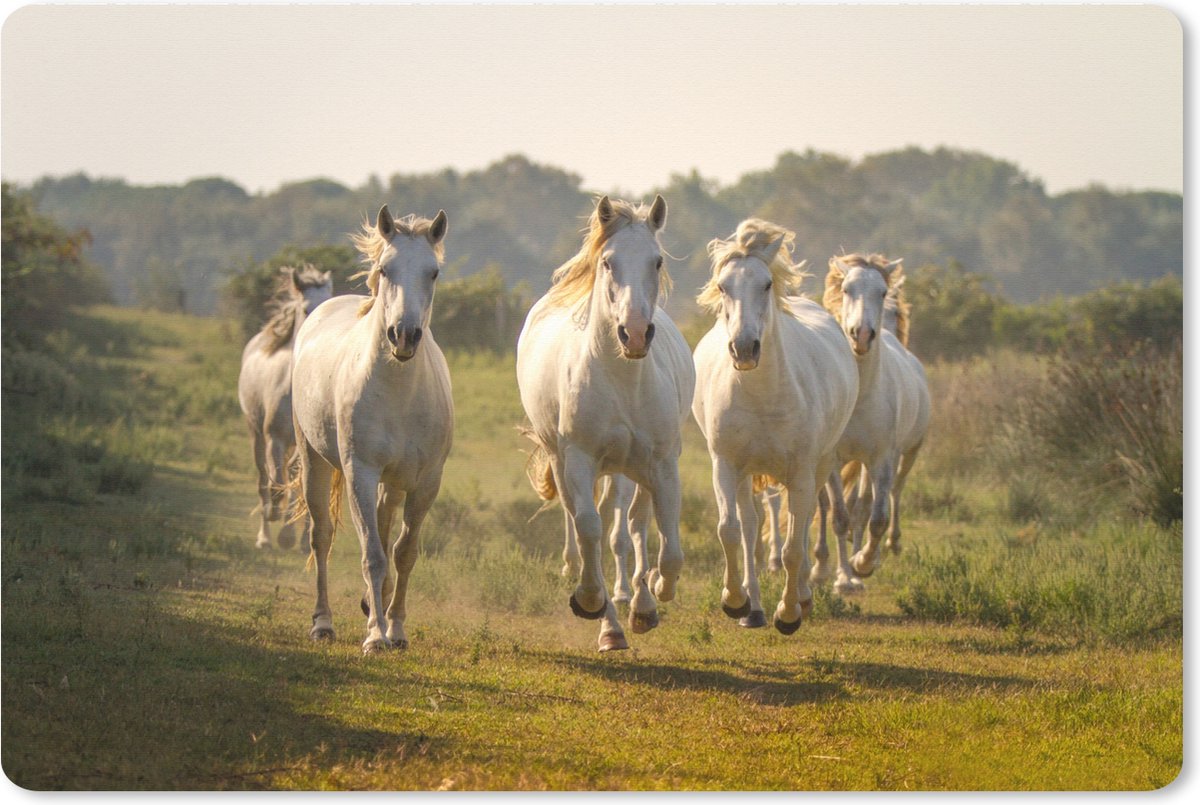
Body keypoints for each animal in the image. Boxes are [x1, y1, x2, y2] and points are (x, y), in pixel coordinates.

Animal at [236, 264, 332, 551]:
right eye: (306, 309)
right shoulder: (274, 439)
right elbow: (277, 480)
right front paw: (275, 514)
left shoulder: (305, 448)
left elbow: (297, 484)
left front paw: (292, 537)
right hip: (255, 433)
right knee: (262, 478)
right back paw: (264, 537)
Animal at [291, 205, 453, 654]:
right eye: (385, 269)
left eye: (433, 272)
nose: (404, 335)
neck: (399, 391)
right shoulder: (359, 472)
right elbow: (373, 554)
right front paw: (376, 637)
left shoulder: (426, 481)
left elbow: (404, 552)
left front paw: (395, 629)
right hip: (314, 459)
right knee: (322, 537)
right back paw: (323, 623)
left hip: (394, 481)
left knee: (383, 525)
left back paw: (371, 606)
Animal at [518, 195, 695, 652]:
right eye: (608, 262)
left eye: (656, 260)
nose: (634, 333)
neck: (621, 379)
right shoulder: (579, 460)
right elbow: (588, 529)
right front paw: (592, 603)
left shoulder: (662, 464)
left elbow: (666, 545)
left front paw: (654, 595)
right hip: (567, 461)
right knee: (586, 525)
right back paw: (610, 622)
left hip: (630, 468)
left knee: (632, 524)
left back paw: (640, 602)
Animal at [692, 219, 858, 633]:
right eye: (723, 286)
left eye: (766, 284)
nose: (744, 348)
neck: (762, 397)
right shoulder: (725, 465)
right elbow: (730, 531)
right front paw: (734, 601)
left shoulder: (801, 472)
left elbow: (793, 548)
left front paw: (789, 614)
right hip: (745, 475)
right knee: (750, 529)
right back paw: (753, 610)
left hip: (820, 465)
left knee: (808, 519)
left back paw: (802, 597)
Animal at [816, 254, 930, 586]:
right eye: (846, 289)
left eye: (882, 292)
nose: (862, 335)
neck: (860, 395)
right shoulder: (832, 459)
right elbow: (839, 516)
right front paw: (843, 578)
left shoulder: (881, 458)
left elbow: (874, 516)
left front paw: (863, 564)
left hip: (907, 453)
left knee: (889, 494)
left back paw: (886, 547)